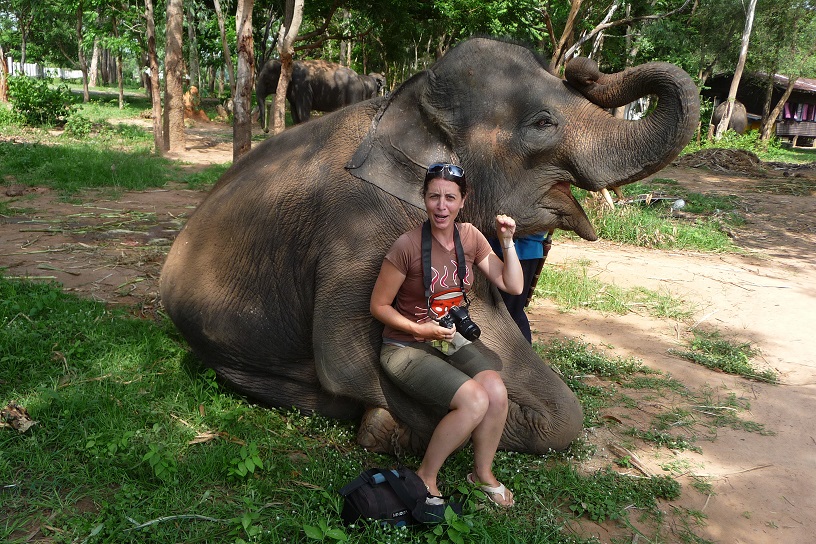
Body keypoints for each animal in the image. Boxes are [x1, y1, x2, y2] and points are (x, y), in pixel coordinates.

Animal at [256, 58, 386, 132]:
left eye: (267, 81)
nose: (266, 130)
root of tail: (359, 78)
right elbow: (294, 113)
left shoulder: (303, 86)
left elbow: (303, 111)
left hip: (354, 92)